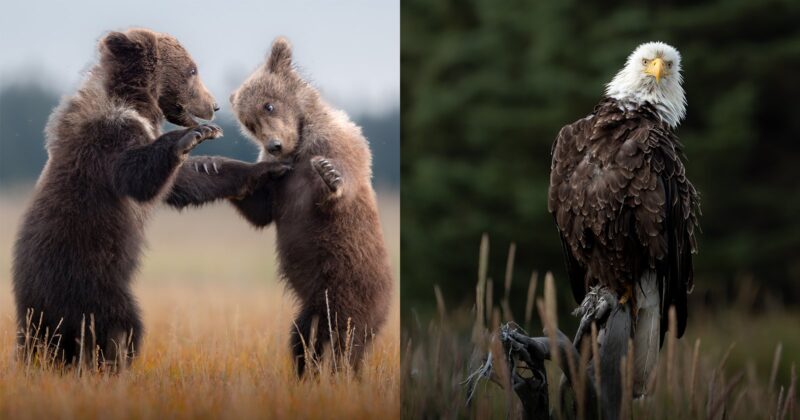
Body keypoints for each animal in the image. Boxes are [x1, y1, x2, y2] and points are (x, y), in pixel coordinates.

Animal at [12, 28, 288, 369]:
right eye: (192, 69)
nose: (214, 106)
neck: (134, 103)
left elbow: (187, 181)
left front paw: (266, 168)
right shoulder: (108, 139)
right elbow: (137, 177)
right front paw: (193, 136)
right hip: (88, 276)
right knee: (118, 325)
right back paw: (113, 362)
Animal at [227, 37, 394, 376]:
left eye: (269, 104)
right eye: (249, 123)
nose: (274, 145)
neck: (299, 148)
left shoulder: (338, 146)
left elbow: (339, 184)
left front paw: (330, 178)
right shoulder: (278, 183)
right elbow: (261, 211)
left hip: (355, 289)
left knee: (350, 342)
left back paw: (345, 374)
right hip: (313, 305)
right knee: (304, 339)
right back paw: (307, 372)